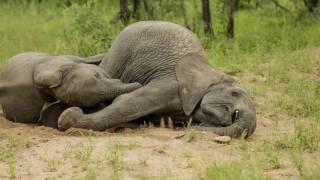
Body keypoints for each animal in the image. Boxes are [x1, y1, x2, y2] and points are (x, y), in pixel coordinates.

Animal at [58, 20, 258, 138]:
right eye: (235, 93)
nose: (183, 133)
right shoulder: (171, 84)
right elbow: (125, 104)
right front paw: (68, 118)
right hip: (120, 52)